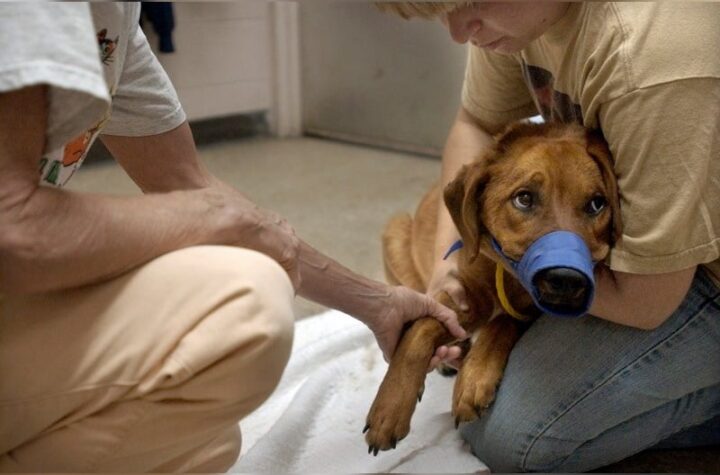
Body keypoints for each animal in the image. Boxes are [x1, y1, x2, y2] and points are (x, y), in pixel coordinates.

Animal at [362, 122, 620, 454]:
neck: (505, 276)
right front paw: (388, 410)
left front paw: (474, 377)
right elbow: (420, 329)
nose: (567, 279)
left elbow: (502, 322)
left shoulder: (526, 307)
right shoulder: (465, 294)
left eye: (597, 204)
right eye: (524, 198)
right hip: (395, 231)